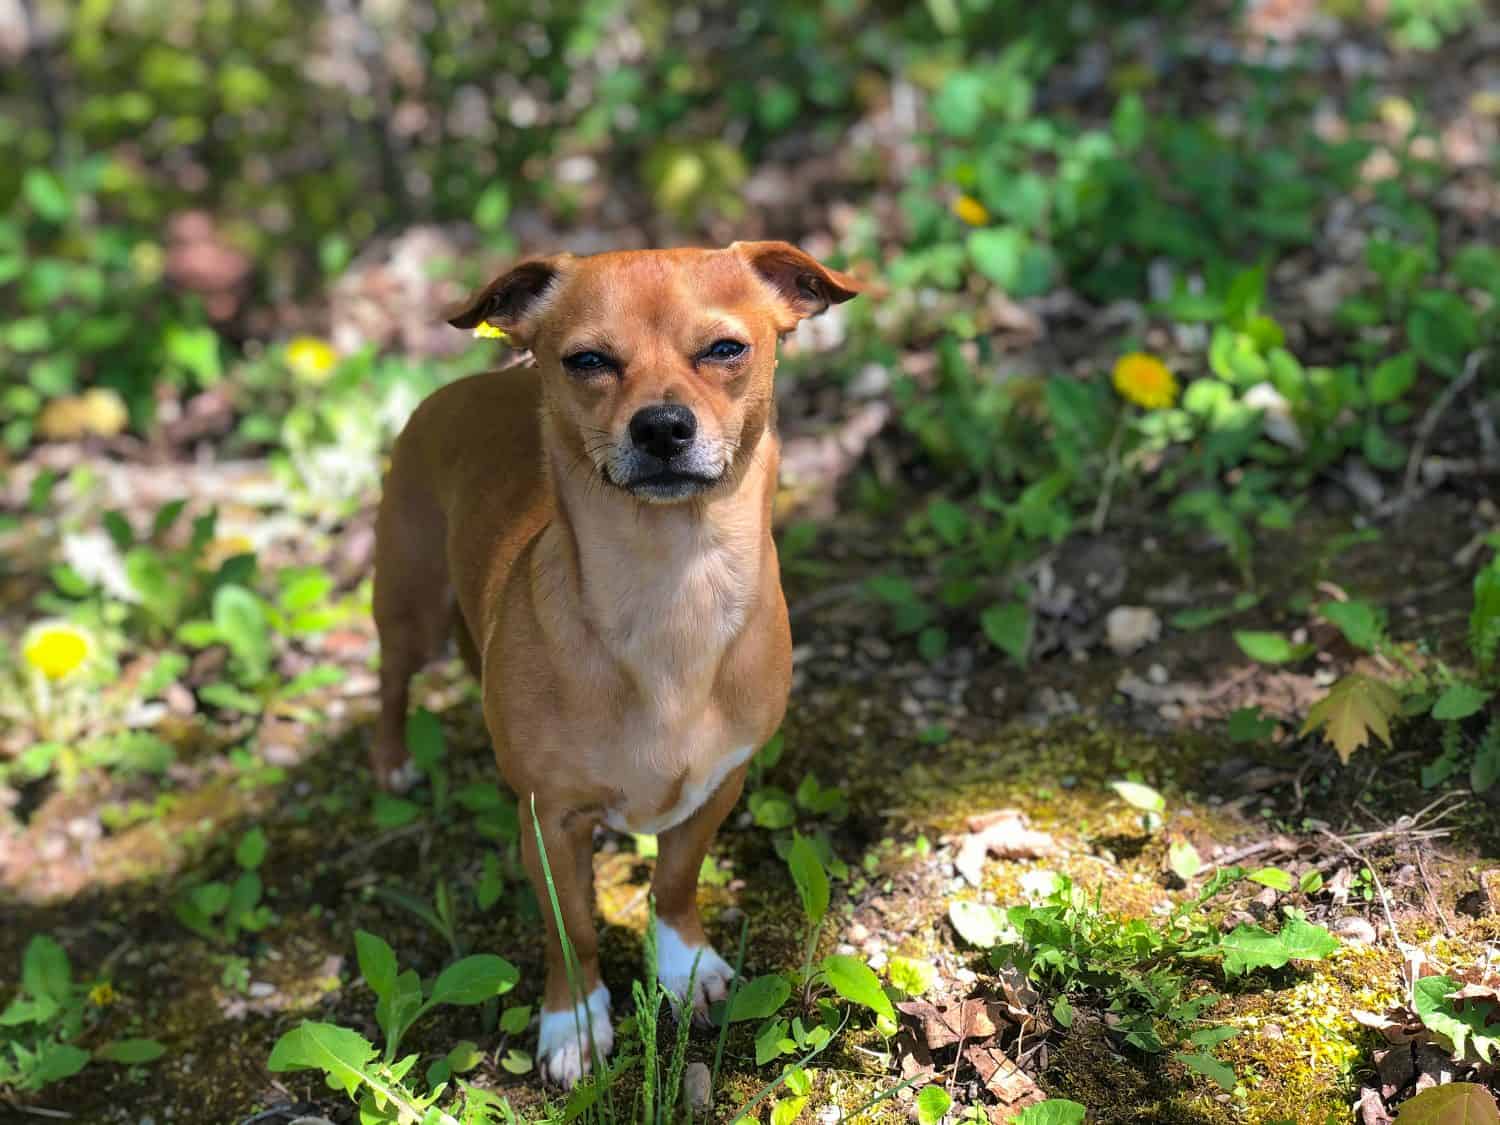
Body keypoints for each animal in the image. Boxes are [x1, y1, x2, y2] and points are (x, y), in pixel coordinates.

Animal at [370, 243, 864, 1086]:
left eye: (725, 349)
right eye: (588, 361)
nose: (662, 424)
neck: (672, 587)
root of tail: (473, 382)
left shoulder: (717, 785)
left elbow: (674, 881)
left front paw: (684, 965)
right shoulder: (550, 820)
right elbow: (572, 927)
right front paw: (573, 1021)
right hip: (410, 608)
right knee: (391, 683)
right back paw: (395, 761)